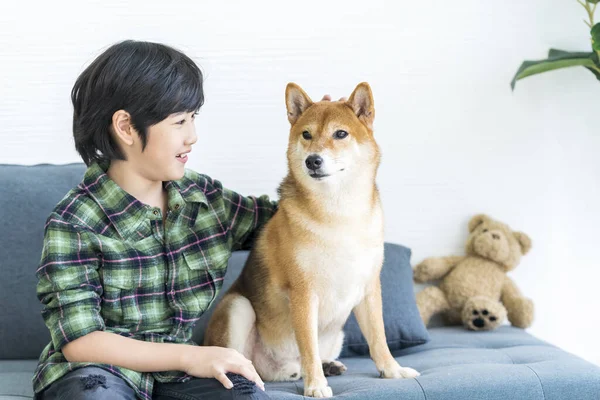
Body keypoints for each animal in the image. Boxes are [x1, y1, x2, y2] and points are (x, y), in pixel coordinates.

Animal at [204, 83, 420, 398]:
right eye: (306, 134)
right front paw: (316, 385)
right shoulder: (304, 294)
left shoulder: (369, 290)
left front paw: (392, 370)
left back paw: (328, 366)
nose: (313, 160)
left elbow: (378, 338)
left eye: (340, 134)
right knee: (242, 362)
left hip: (337, 334)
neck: (339, 213)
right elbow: (308, 347)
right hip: (238, 307)